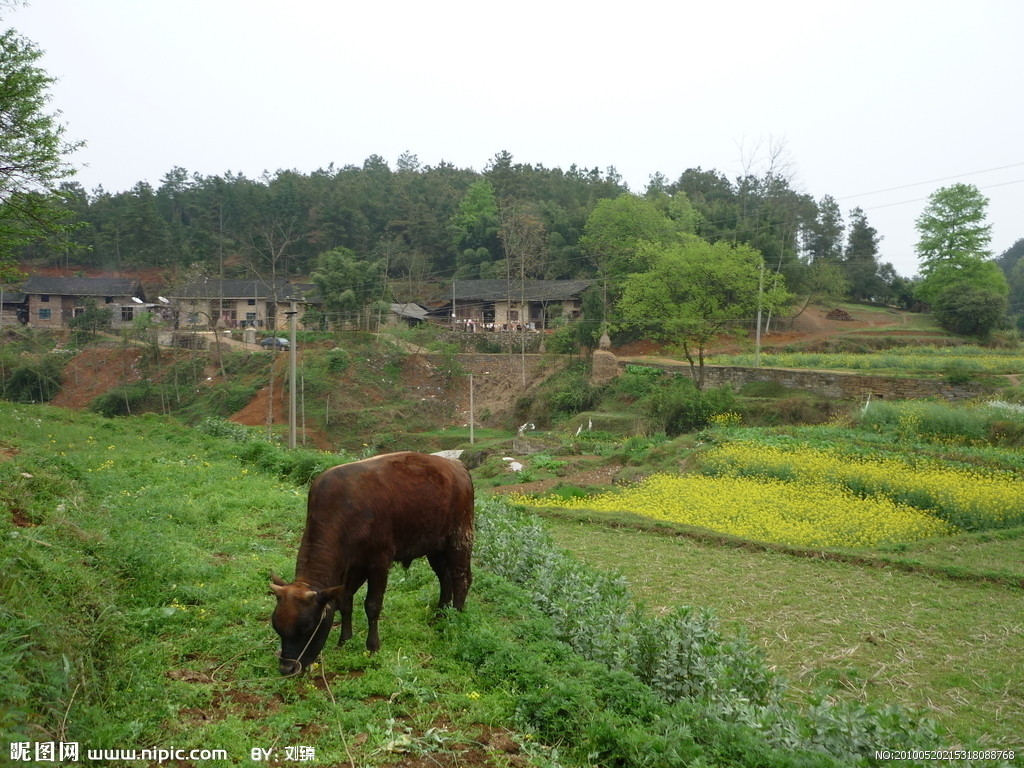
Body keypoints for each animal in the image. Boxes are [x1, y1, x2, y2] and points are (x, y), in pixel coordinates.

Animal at [270, 454, 473, 675]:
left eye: (308, 627)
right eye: (277, 627)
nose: (287, 668)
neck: (343, 510)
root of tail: (457, 466)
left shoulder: (379, 563)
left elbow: (372, 605)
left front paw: (373, 646)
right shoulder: (352, 568)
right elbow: (345, 602)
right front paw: (344, 640)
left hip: (459, 539)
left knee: (461, 579)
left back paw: (455, 618)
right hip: (434, 546)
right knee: (445, 577)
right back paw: (440, 614)